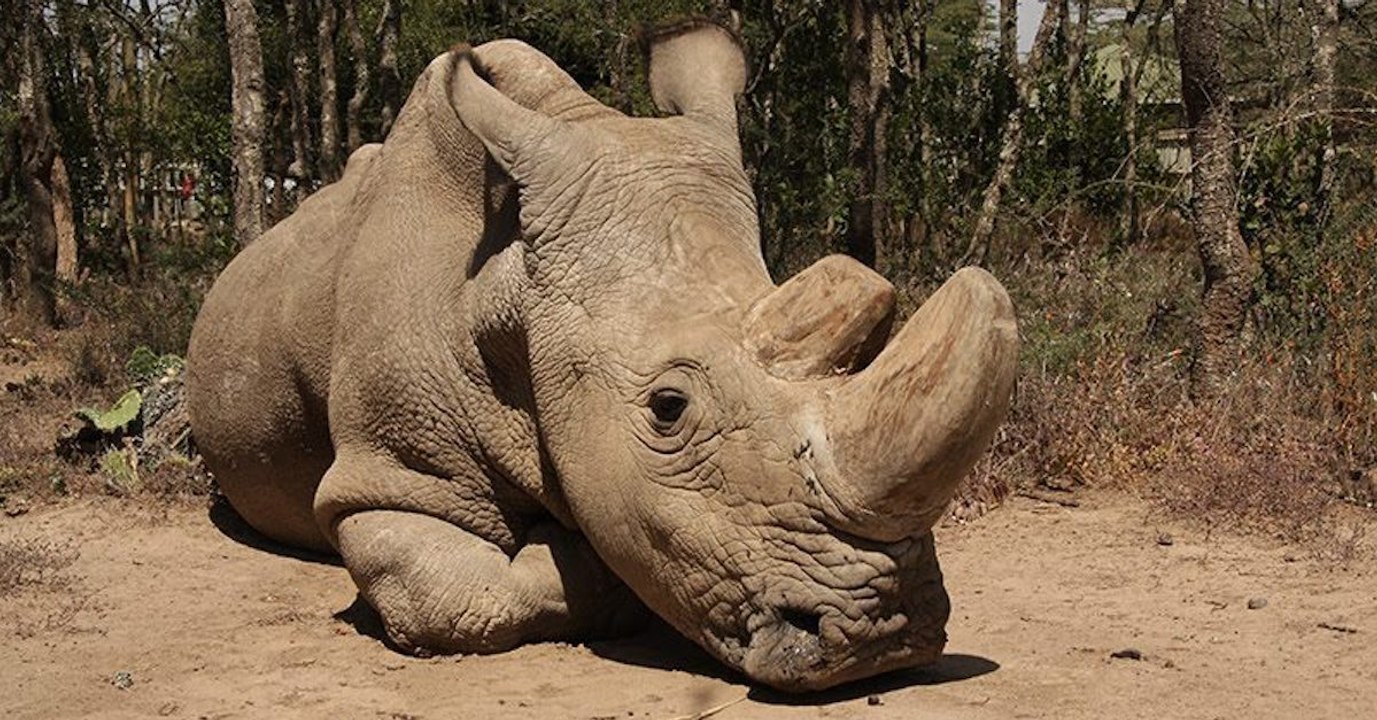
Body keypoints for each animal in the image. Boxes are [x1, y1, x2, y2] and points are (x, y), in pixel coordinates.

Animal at [188, 19, 1018, 691]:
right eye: (667, 408)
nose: (885, 638)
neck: (509, 294)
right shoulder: (389, 477)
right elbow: (457, 600)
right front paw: (571, 554)